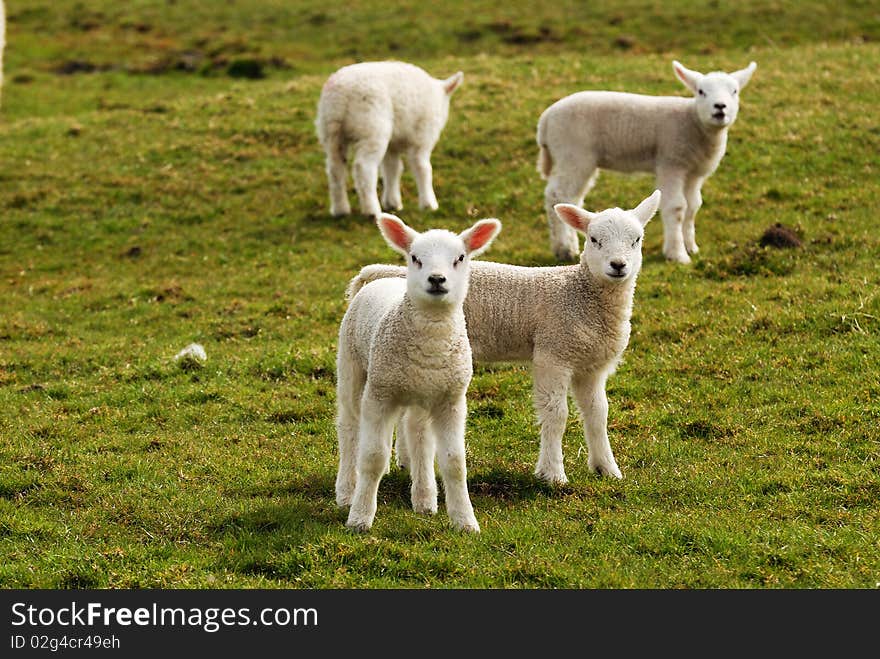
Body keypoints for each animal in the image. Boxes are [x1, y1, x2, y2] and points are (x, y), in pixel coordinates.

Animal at [318, 61, 468, 219]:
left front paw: (392, 203)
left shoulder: (393, 145)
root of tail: (341, 94)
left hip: (331, 131)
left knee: (335, 168)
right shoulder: (421, 137)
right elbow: (422, 168)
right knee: (364, 168)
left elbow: (393, 169)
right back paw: (372, 210)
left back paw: (340, 210)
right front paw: (428, 204)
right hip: (372, 128)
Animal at [336, 214, 502, 532]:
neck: (432, 339)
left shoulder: (451, 399)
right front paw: (360, 518)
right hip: (352, 367)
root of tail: (381, 278)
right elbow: (373, 457)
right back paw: (347, 492)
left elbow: (454, 462)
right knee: (350, 427)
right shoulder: (380, 394)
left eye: (460, 258)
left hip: (421, 394)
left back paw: (424, 499)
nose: (436, 279)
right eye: (415, 258)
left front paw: (465, 521)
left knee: (418, 434)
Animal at [344, 188, 660, 488]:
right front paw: (553, 474)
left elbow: (598, 414)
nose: (618, 265)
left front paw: (606, 468)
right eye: (594, 239)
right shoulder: (552, 353)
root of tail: (380, 272)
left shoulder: (591, 365)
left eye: (637, 240)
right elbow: (556, 414)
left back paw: (405, 462)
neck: (580, 293)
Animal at [536, 59, 756, 264]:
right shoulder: (671, 162)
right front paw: (677, 254)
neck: (693, 122)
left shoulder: (694, 172)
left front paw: (691, 247)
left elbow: (693, 207)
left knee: (571, 198)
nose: (720, 107)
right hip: (573, 153)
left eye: (735, 91)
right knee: (556, 194)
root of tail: (545, 119)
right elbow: (677, 207)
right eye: (701, 92)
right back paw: (563, 249)